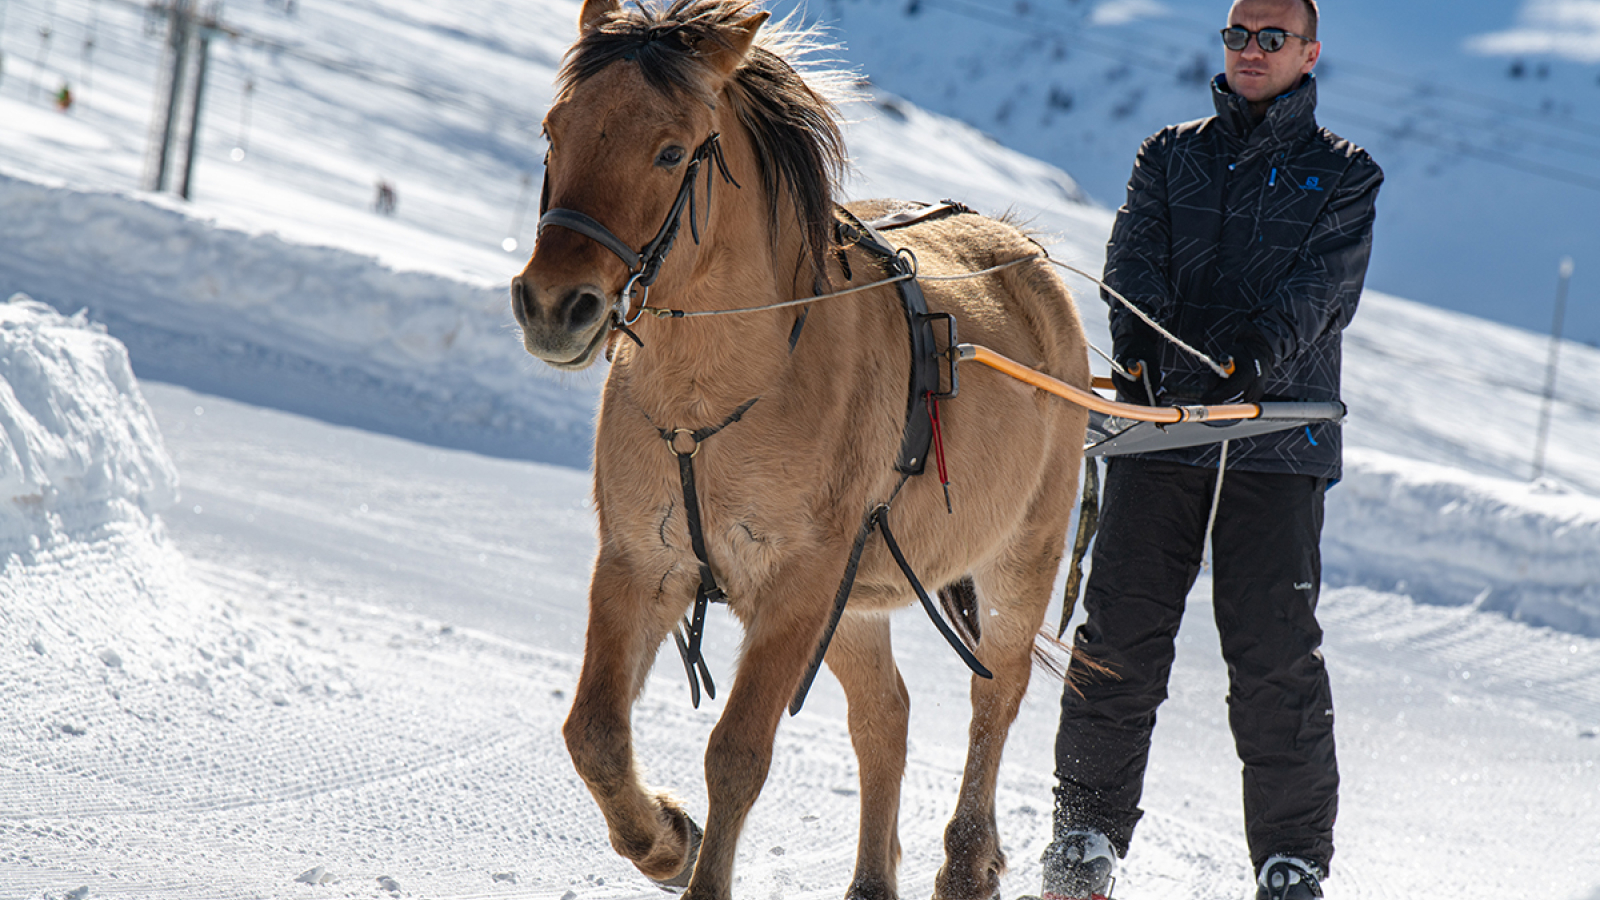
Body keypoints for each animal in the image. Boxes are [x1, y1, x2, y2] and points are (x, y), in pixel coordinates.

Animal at [508, 3, 1088, 890]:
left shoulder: (796, 588)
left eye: (671, 151)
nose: (551, 306)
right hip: (853, 606)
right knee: (886, 716)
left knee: (998, 695)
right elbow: (595, 734)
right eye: (554, 129)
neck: (713, 398)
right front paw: (667, 840)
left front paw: (698, 868)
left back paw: (965, 865)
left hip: (1018, 558)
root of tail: (1024, 257)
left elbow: (738, 755)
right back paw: (871, 883)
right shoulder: (641, 563)